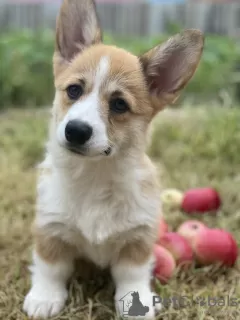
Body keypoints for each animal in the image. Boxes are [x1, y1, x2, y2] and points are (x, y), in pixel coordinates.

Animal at [22, 1, 203, 318]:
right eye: (74, 90)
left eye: (119, 105)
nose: (76, 131)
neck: (95, 175)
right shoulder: (50, 227)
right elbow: (50, 266)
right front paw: (44, 298)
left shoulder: (138, 238)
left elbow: (132, 274)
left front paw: (136, 302)